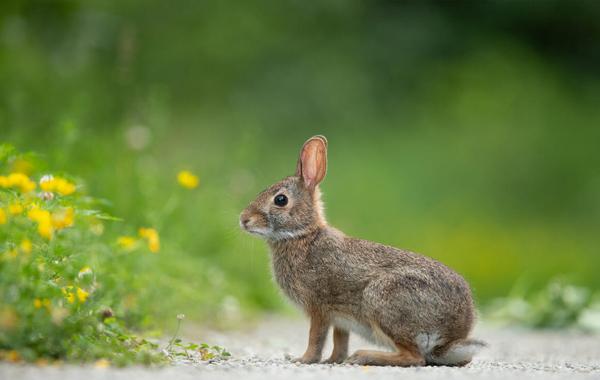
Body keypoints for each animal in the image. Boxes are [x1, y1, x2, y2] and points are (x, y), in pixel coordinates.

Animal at [239, 135, 488, 366]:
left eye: (280, 200)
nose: (243, 219)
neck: (303, 236)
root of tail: (451, 335)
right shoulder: (340, 319)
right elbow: (339, 342)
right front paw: (332, 361)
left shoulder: (319, 307)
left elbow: (315, 338)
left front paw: (302, 359)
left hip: (382, 300)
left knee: (414, 357)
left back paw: (362, 356)